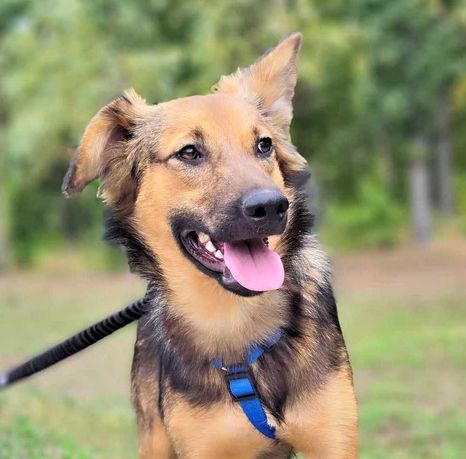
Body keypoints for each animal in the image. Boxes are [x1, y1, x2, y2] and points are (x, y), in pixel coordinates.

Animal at [62, 33, 358, 459]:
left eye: (264, 145)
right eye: (189, 152)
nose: (271, 206)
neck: (236, 321)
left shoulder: (334, 440)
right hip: (153, 438)